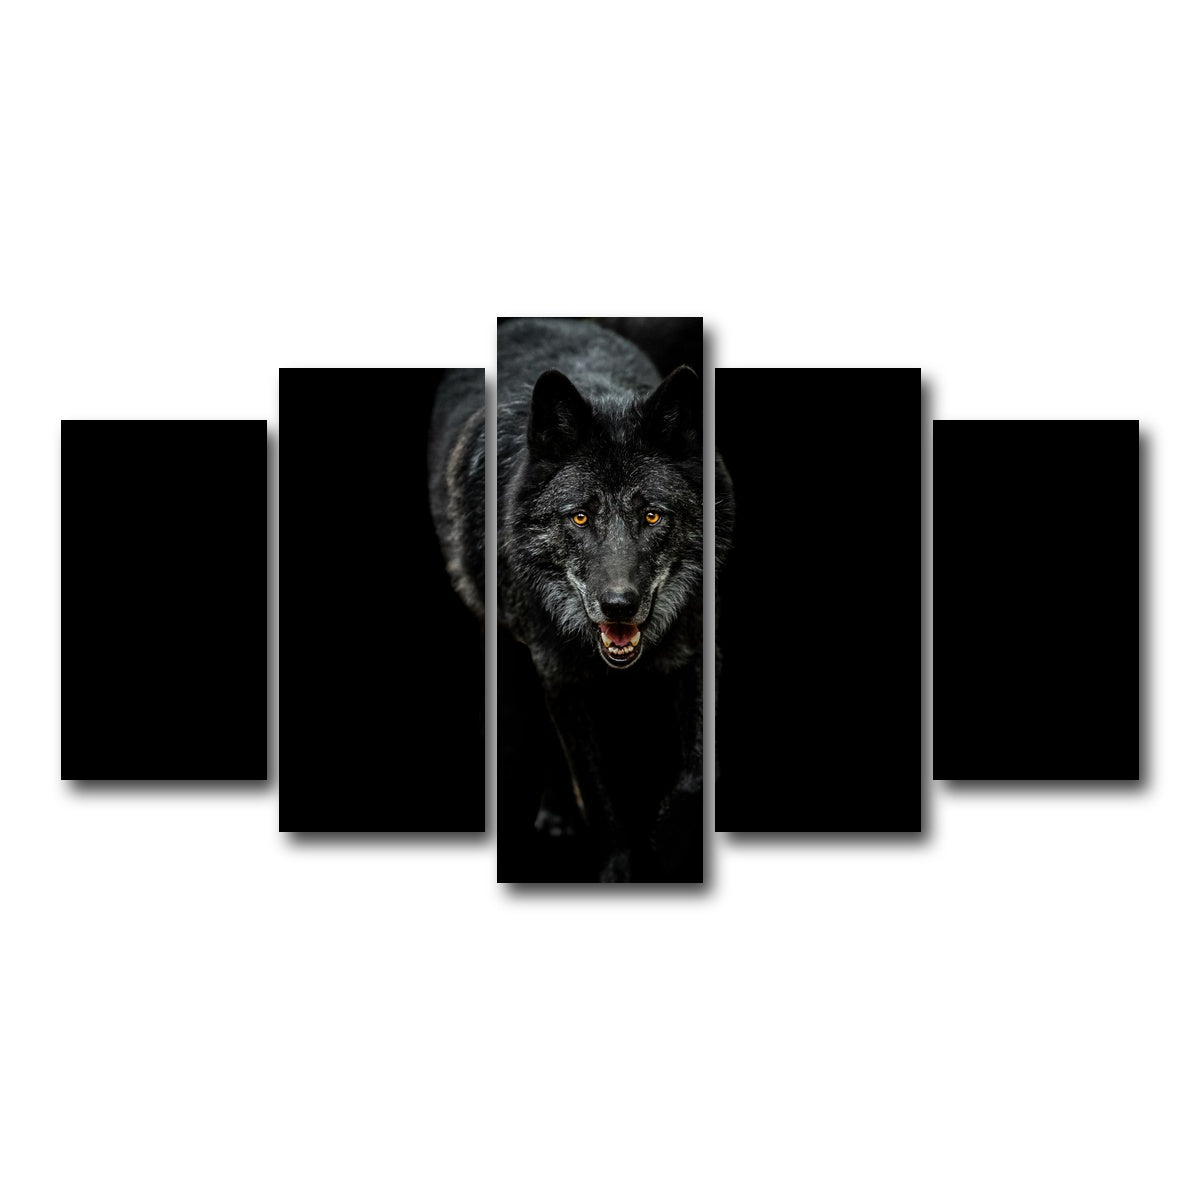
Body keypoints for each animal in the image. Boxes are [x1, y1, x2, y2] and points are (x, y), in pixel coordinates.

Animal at [430, 319, 733, 882]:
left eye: (652, 515)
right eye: (580, 517)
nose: (618, 605)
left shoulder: (701, 650)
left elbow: (701, 773)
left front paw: (670, 840)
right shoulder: (559, 675)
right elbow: (595, 792)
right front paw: (617, 870)